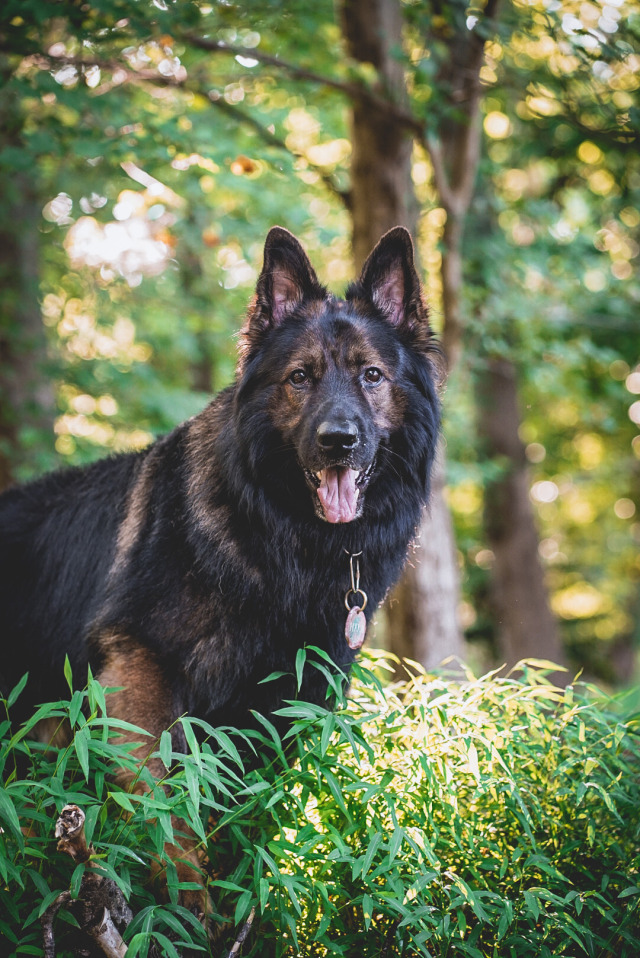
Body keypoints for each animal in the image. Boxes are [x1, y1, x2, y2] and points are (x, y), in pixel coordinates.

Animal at [0, 225, 440, 924]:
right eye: (300, 378)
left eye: (372, 375)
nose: (338, 440)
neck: (284, 543)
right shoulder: (139, 676)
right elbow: (173, 813)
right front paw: (190, 919)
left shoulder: (289, 705)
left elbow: (250, 827)